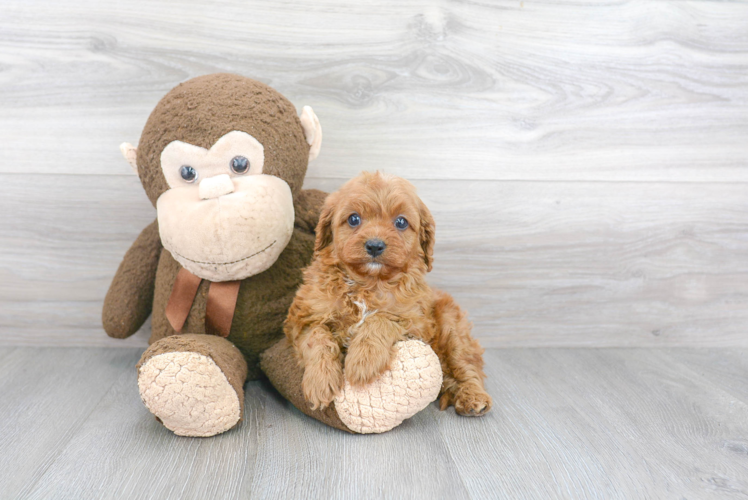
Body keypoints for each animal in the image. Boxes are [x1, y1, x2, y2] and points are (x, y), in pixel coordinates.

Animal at [284, 170, 490, 416]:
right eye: (354, 219)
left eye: (401, 222)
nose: (374, 245)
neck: (368, 284)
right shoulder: (304, 319)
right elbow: (317, 338)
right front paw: (320, 381)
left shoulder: (416, 322)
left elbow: (381, 319)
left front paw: (363, 361)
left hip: (452, 327)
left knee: (466, 364)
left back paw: (473, 397)